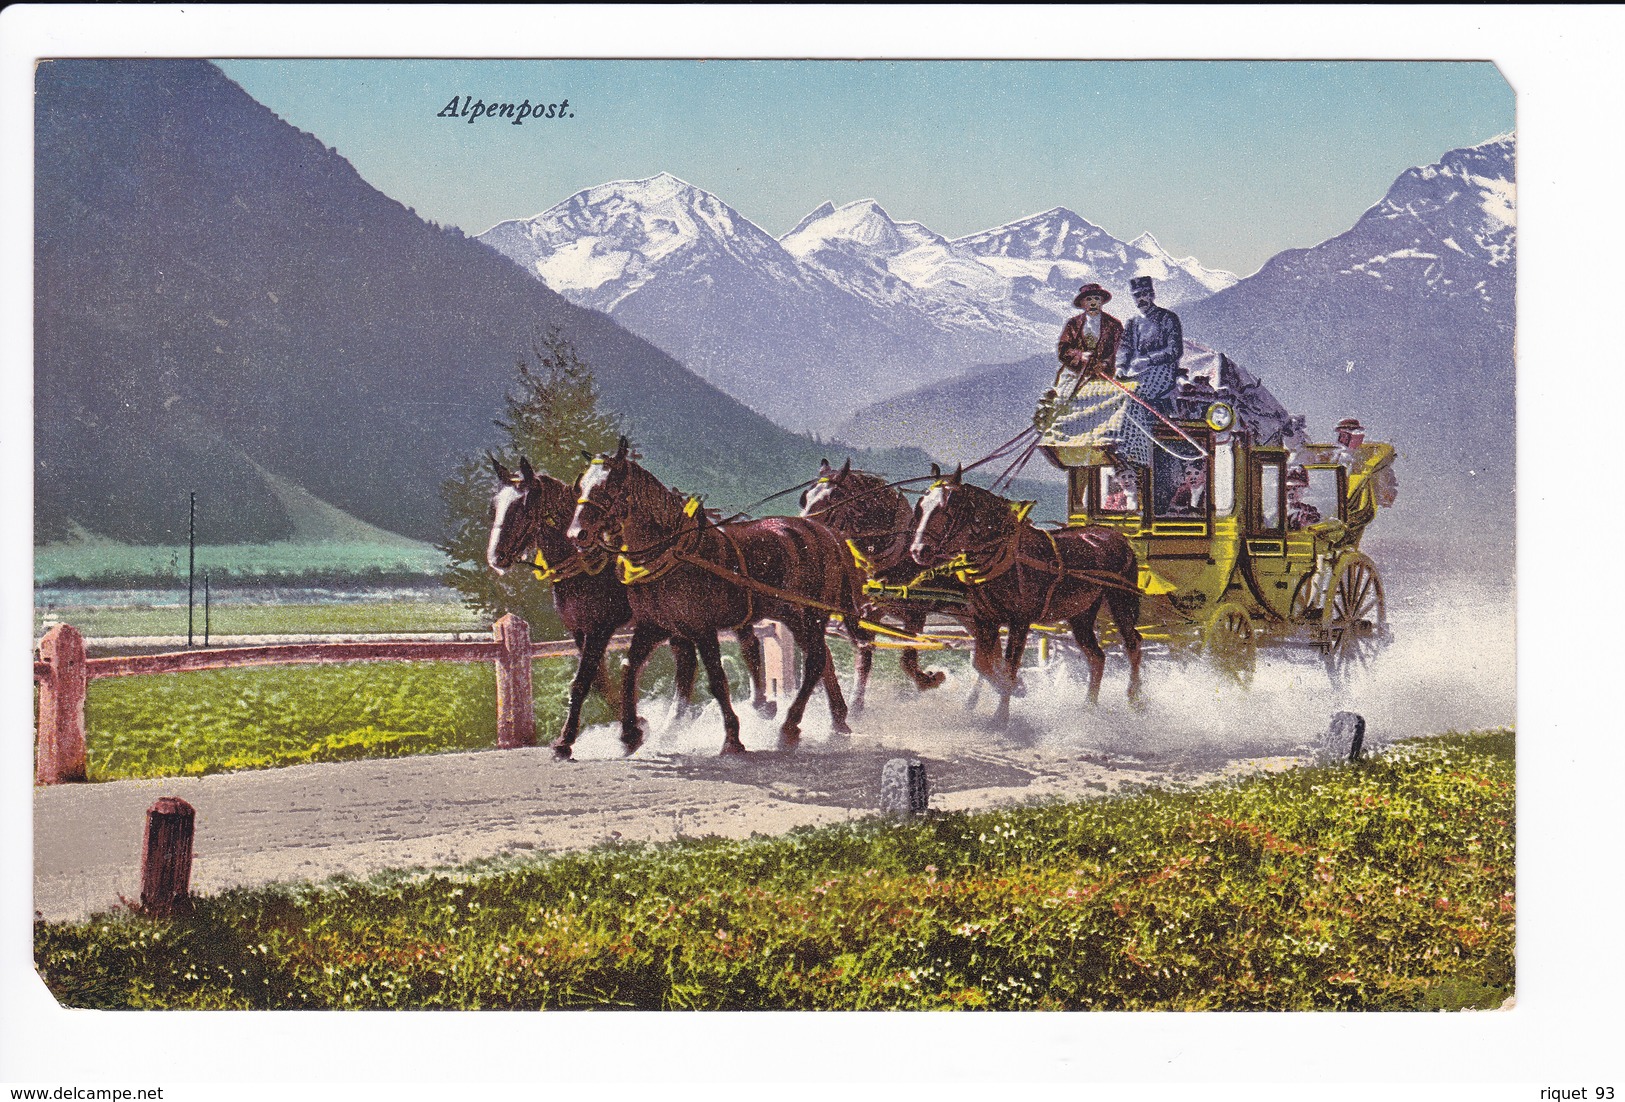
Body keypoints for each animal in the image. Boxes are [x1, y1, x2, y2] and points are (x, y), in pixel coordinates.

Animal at [481, 455, 711, 760]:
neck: (585, 565)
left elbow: (582, 682)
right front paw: (636, 724)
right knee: (685, 664)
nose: (496, 557)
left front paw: (566, 741)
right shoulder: (580, 630)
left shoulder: (601, 628)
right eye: (495, 505)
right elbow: (599, 681)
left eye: (524, 505)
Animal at [572, 435, 877, 754]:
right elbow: (630, 667)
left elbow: (717, 680)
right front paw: (631, 734)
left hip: (811, 614)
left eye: (607, 486)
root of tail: (827, 533)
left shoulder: (702, 628)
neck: (672, 553)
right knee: (822, 657)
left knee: (816, 660)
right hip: (794, 615)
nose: (577, 534)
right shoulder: (655, 626)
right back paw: (837, 722)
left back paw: (790, 727)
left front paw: (732, 737)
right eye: (580, 486)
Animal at [799, 458, 962, 708]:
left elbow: (908, 657)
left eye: (833, 498)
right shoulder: (867, 615)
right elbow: (863, 659)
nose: (801, 530)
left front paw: (931, 679)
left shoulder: (916, 613)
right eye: (806, 497)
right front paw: (856, 706)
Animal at [903, 464, 1144, 724]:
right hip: (1081, 614)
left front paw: (1002, 713)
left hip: (1121, 602)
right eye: (921, 506)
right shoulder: (985, 620)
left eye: (946, 507)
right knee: (1097, 657)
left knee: (1133, 644)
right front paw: (1011, 689)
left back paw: (1135, 700)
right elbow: (982, 664)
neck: (999, 555)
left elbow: (1009, 666)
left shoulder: (1020, 621)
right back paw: (1089, 707)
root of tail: (1118, 537)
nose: (918, 550)